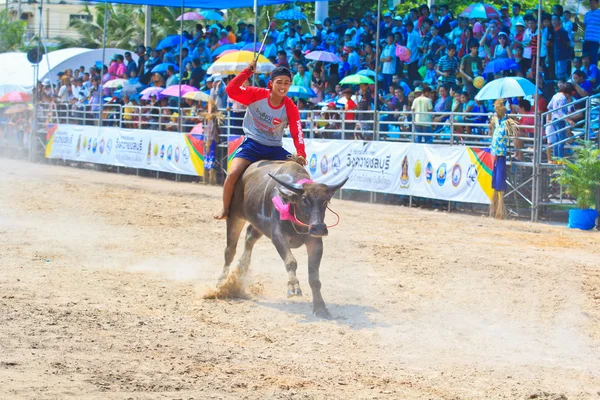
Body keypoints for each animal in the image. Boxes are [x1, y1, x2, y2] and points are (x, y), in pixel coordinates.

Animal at [219, 159, 346, 318]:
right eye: (304, 199)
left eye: (325, 200)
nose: (319, 228)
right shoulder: (277, 236)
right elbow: (291, 261)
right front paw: (293, 286)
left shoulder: (315, 241)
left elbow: (314, 276)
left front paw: (320, 307)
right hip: (235, 216)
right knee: (229, 250)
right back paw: (222, 282)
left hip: (259, 225)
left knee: (249, 237)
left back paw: (242, 268)